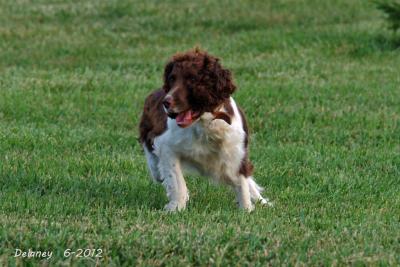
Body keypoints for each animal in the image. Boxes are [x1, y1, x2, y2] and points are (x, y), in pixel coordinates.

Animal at [138, 48, 272, 211]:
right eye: (172, 79)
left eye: (192, 80)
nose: (166, 102)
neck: (207, 124)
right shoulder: (166, 146)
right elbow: (176, 181)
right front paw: (176, 208)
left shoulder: (236, 152)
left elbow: (242, 183)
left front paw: (246, 209)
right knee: (155, 167)